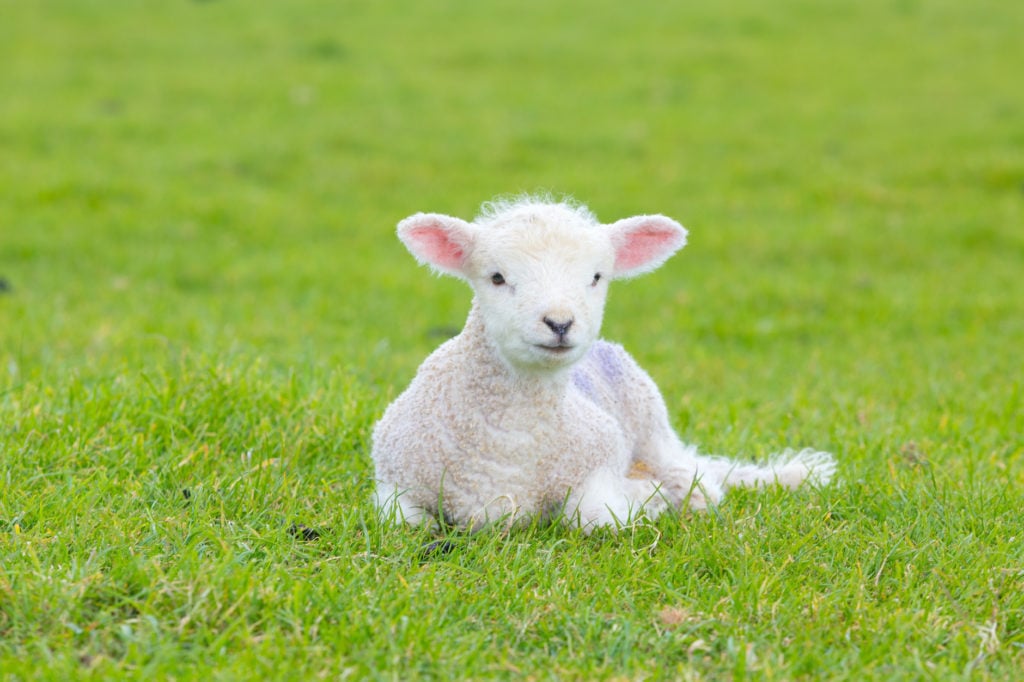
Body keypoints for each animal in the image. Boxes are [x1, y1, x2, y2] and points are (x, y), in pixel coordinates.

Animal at [372, 193, 835, 528]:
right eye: (497, 277)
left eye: (596, 277)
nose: (559, 322)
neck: (511, 442)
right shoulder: (393, 481)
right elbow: (406, 524)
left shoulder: (599, 457)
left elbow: (594, 517)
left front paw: (645, 500)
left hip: (651, 424)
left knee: (696, 479)